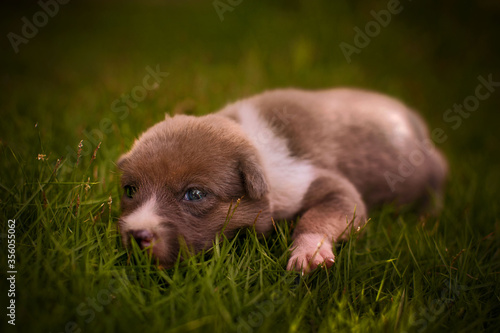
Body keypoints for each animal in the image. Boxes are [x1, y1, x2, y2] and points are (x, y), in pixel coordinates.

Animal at [116, 87, 446, 272]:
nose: (137, 235)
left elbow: (322, 214)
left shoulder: (317, 181)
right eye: (129, 190)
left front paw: (308, 254)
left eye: (195, 194)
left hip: (433, 167)